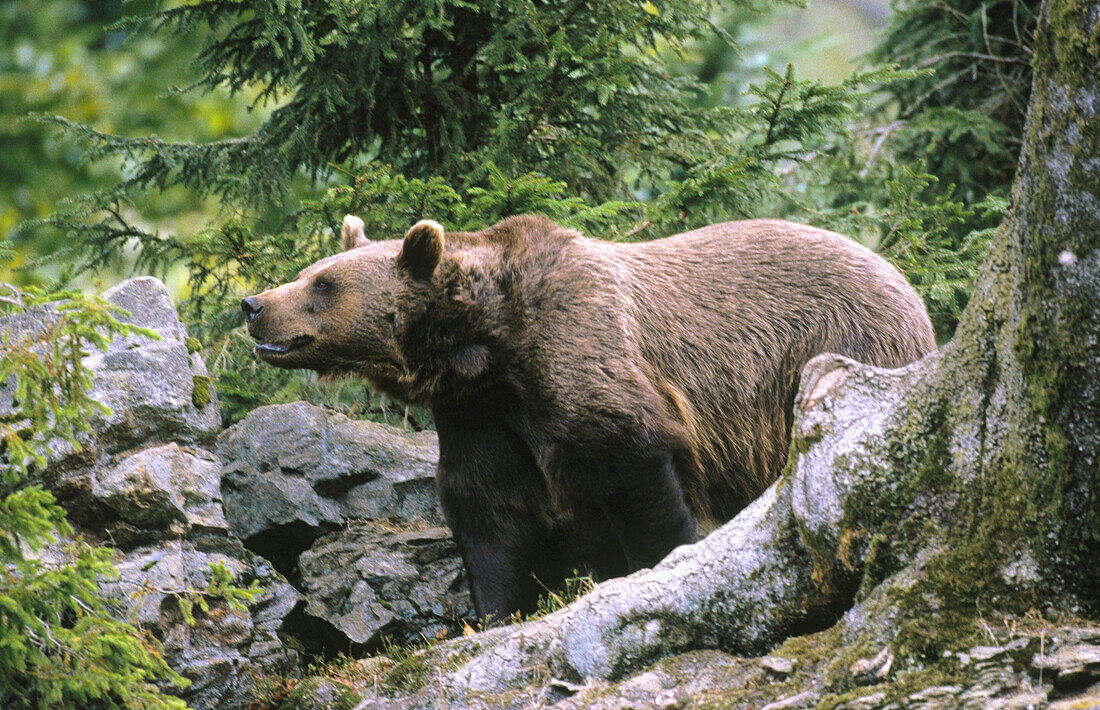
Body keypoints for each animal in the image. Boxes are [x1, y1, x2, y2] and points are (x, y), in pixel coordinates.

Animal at [243, 214, 937, 620]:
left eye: (323, 285)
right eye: (309, 271)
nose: (254, 305)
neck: (490, 348)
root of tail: (907, 285)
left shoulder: (580, 356)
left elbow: (631, 465)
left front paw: (661, 564)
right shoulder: (479, 418)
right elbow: (487, 511)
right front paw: (492, 610)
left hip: (844, 347)